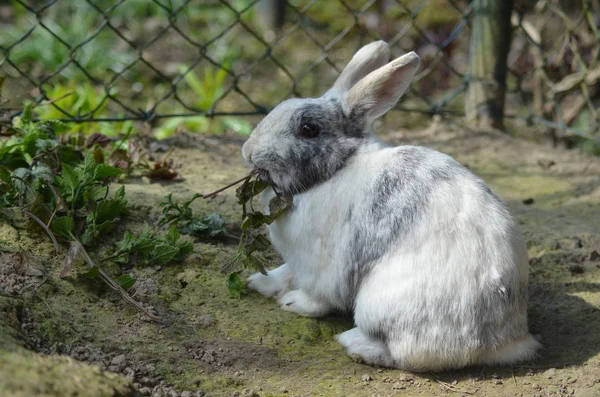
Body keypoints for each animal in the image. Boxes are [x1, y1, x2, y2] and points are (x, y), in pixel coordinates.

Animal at [239, 41, 540, 372]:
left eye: (308, 128)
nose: (248, 152)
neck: (338, 167)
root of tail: (504, 341)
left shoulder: (321, 267)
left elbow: (317, 297)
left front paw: (292, 303)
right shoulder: (296, 262)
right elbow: (284, 273)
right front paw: (259, 282)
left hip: (379, 307)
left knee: (405, 353)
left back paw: (354, 343)